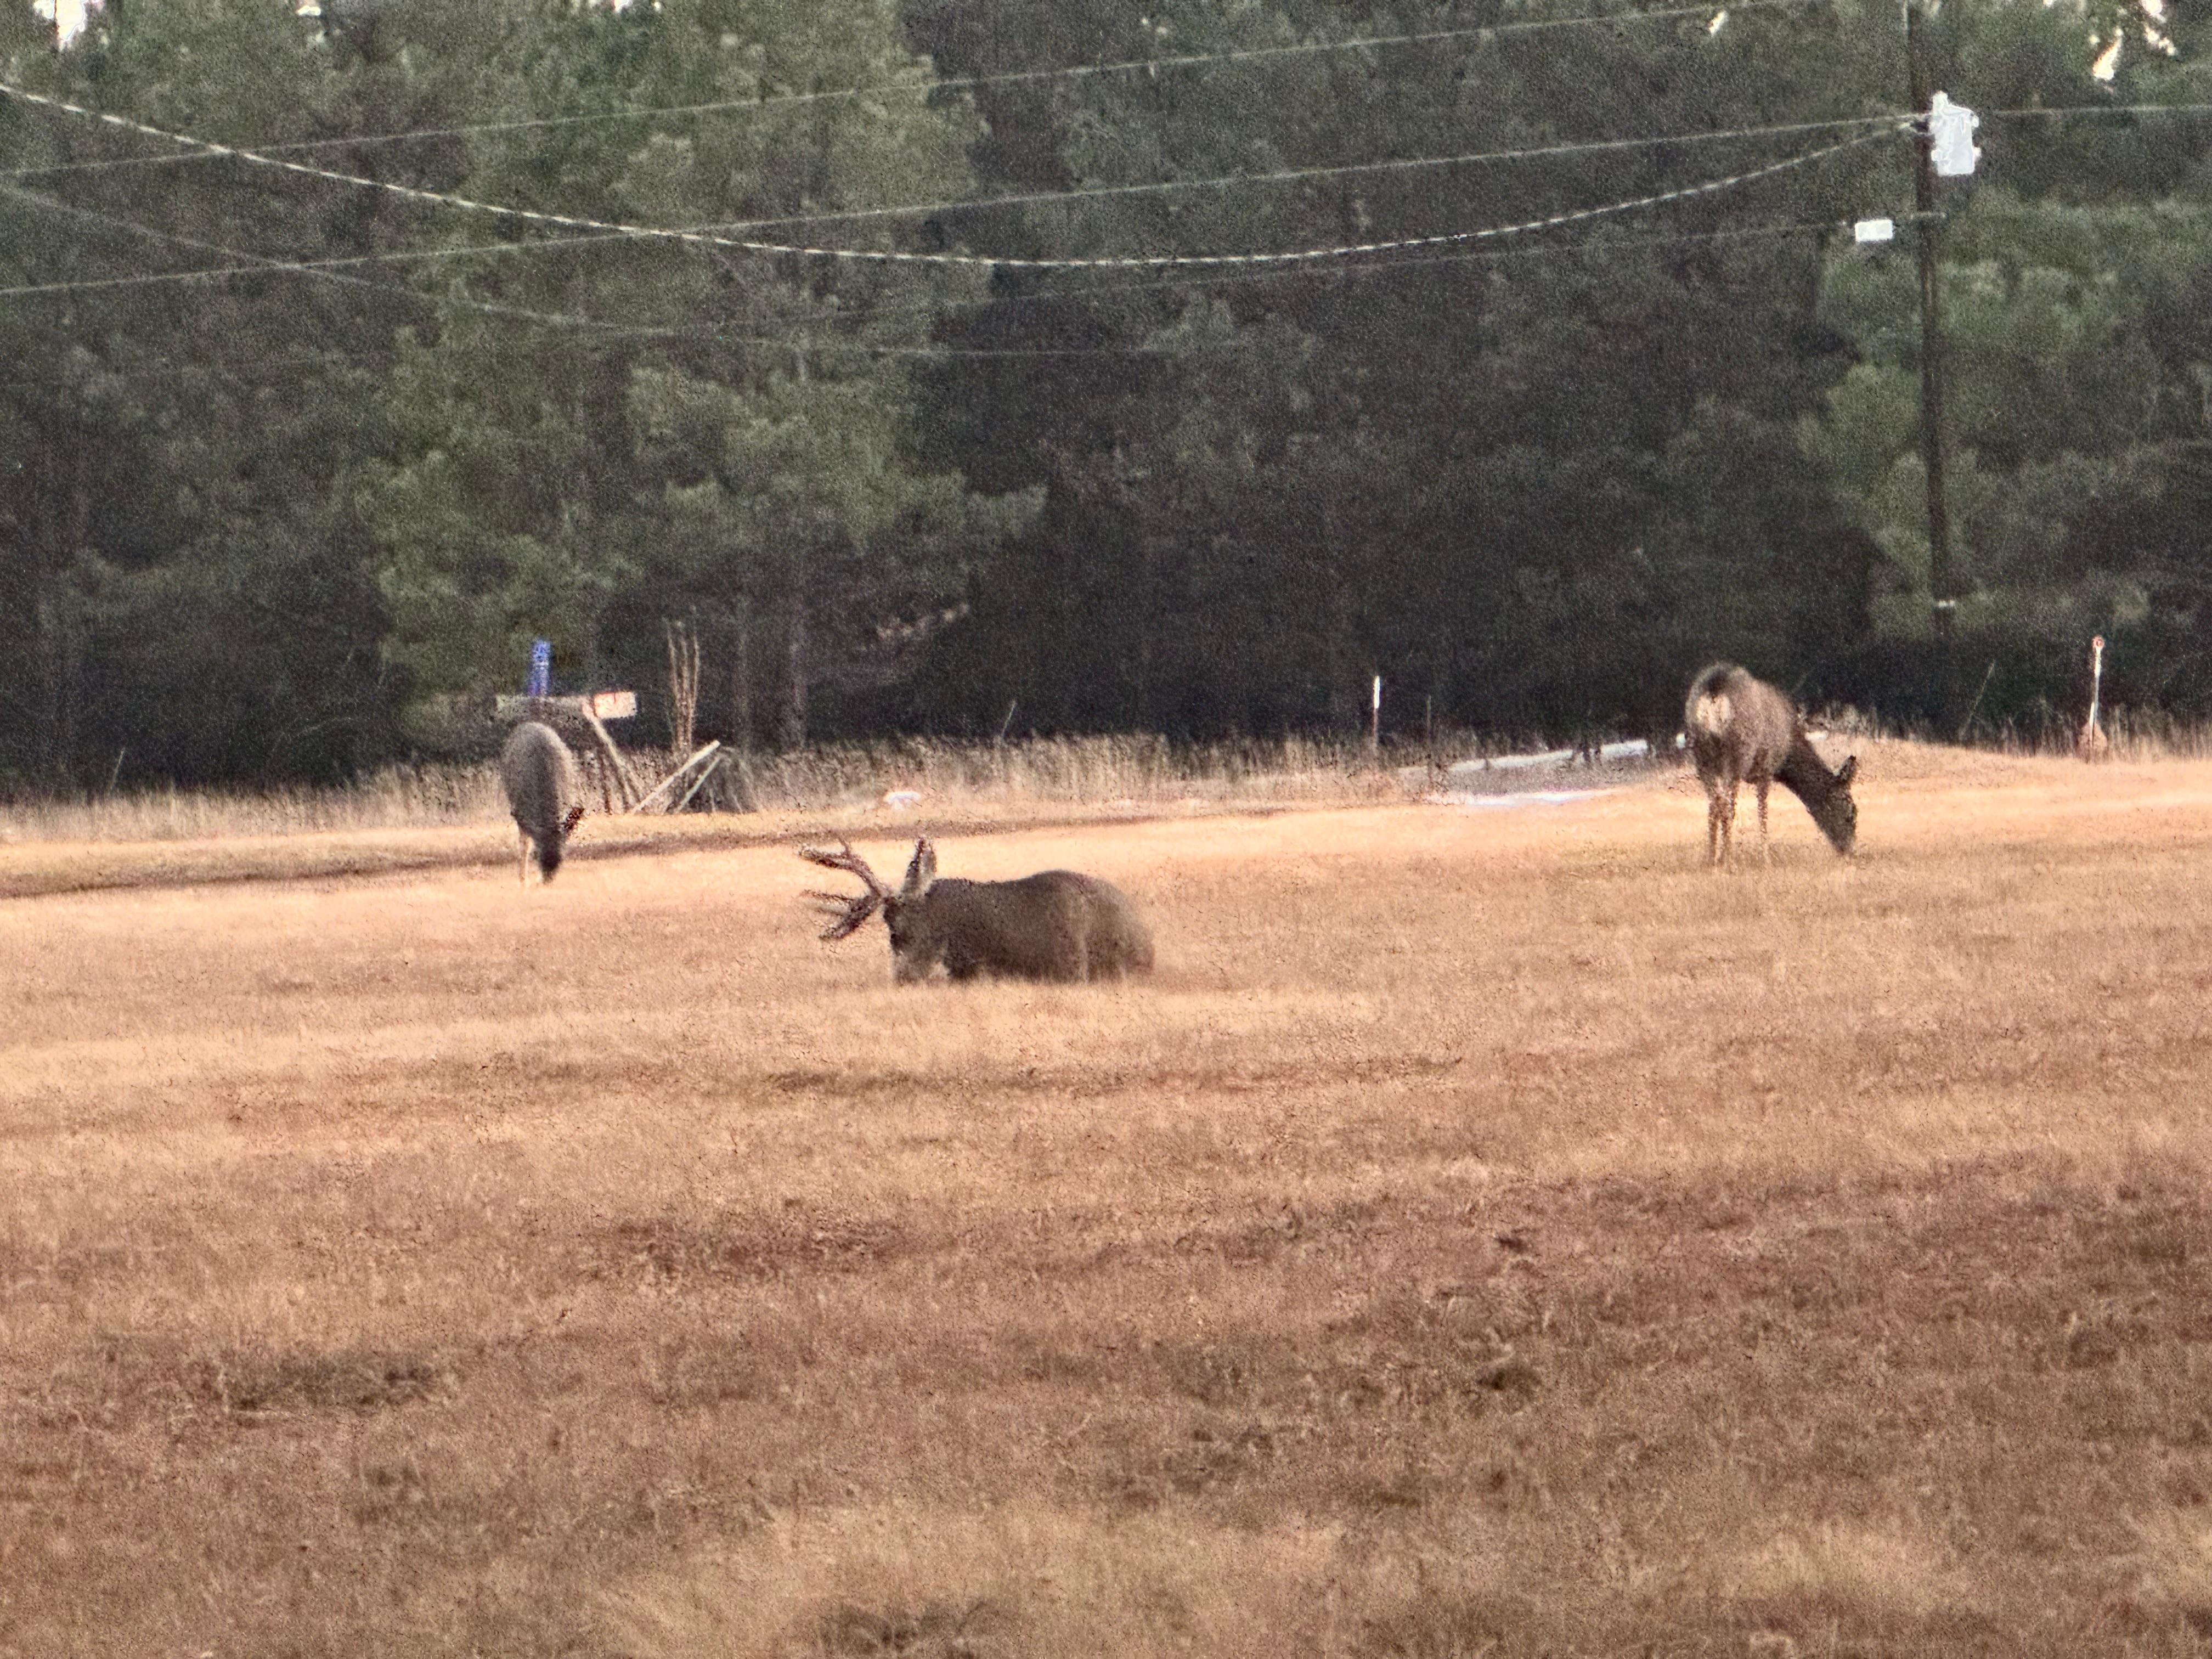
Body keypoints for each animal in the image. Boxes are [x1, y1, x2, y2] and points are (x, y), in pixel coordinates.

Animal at [500, 720, 585, 884]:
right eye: (537, 856)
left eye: (563, 857)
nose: (547, 880)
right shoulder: (520, 812)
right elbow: (524, 845)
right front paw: (523, 881)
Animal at [1684, 663, 1857, 867]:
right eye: (1851, 813)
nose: (1851, 851)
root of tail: (1714, 695)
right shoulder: (1766, 767)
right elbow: (1763, 812)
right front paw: (1766, 858)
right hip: (1737, 753)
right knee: (1725, 804)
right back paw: (1729, 861)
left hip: (1701, 754)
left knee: (1714, 803)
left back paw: (1712, 858)